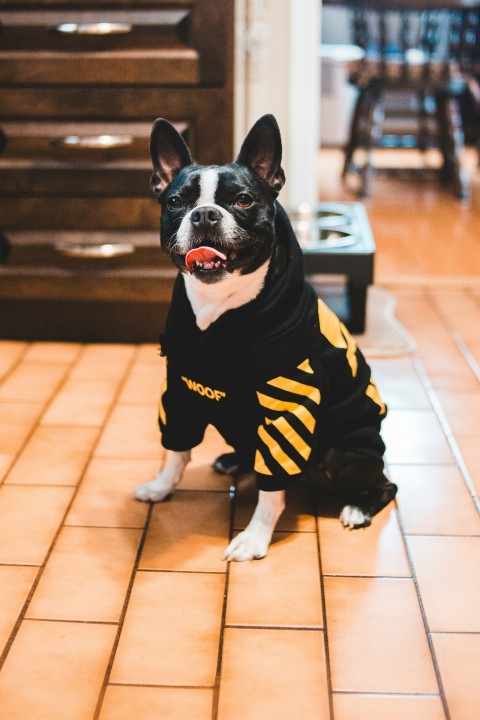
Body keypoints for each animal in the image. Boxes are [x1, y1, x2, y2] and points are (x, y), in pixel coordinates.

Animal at [136, 114, 398, 564]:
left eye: (243, 200)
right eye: (175, 203)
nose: (205, 215)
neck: (219, 308)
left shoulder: (289, 409)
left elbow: (272, 487)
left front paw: (256, 537)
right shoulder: (181, 390)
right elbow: (176, 449)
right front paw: (161, 486)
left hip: (342, 455)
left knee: (386, 484)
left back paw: (357, 507)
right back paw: (231, 460)